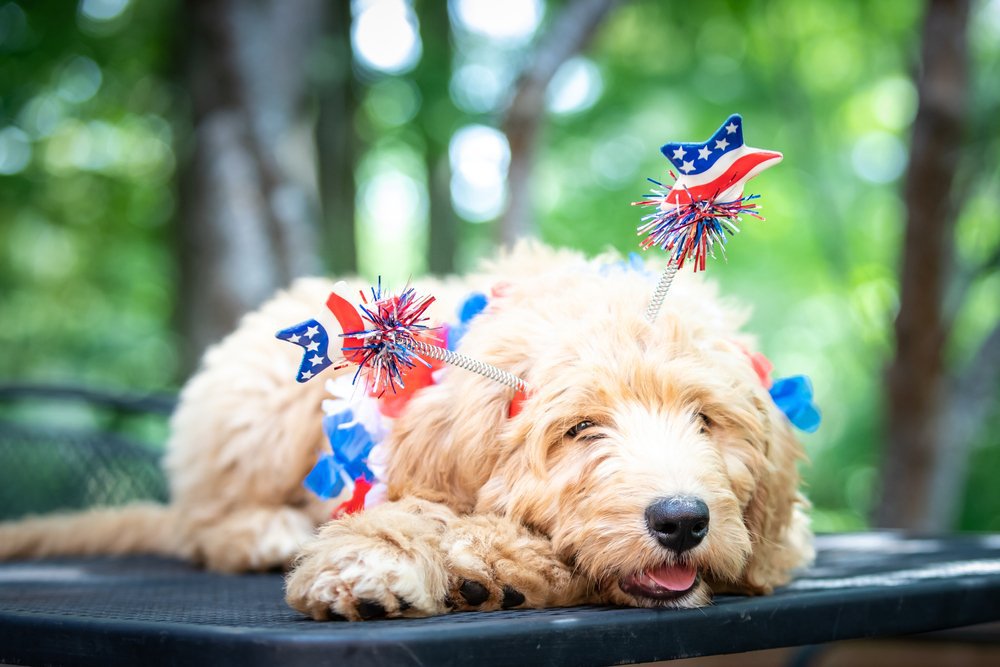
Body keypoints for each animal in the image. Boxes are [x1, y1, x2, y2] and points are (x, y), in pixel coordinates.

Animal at [0, 245, 812, 620]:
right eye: (581, 428)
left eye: (705, 419)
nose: (681, 519)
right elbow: (411, 511)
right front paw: (374, 566)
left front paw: (501, 564)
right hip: (261, 405)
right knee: (200, 519)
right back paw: (260, 531)